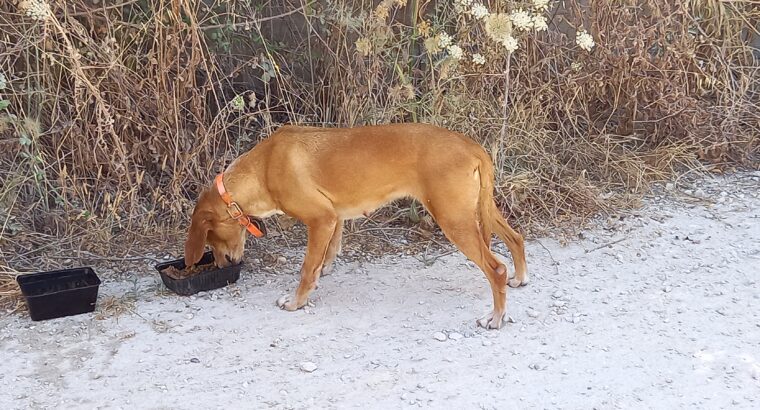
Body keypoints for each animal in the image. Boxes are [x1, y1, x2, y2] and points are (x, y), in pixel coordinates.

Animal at [185, 123, 528, 328]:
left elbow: (306, 268)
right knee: (516, 237)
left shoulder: (320, 218)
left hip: (454, 219)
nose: (222, 265)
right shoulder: (333, 216)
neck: (263, 168)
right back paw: (520, 277)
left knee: (495, 268)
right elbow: (326, 253)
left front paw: (297, 301)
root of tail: (472, 146)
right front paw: (324, 271)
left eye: (211, 238)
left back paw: (496, 317)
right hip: (479, 209)